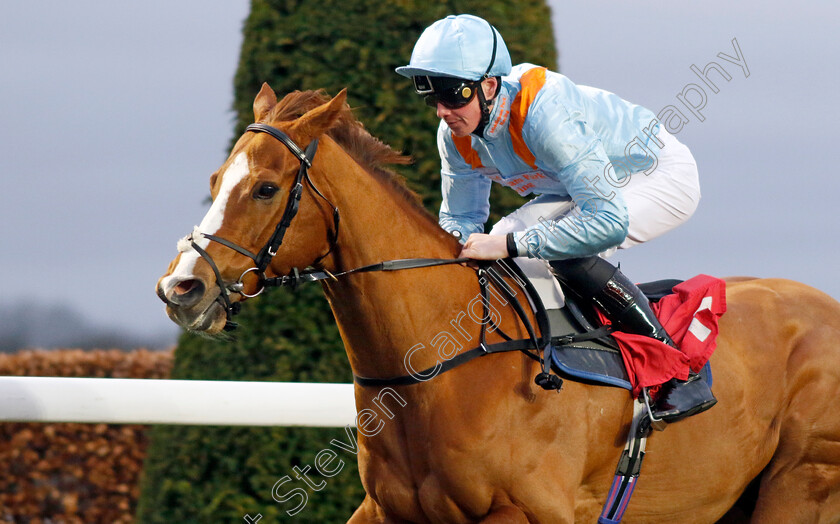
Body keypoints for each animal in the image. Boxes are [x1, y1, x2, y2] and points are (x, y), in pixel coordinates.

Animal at [156, 84, 840, 520]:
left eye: (266, 188)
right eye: (217, 181)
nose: (181, 288)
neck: (440, 367)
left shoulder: (526, 510)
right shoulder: (386, 511)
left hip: (801, 486)